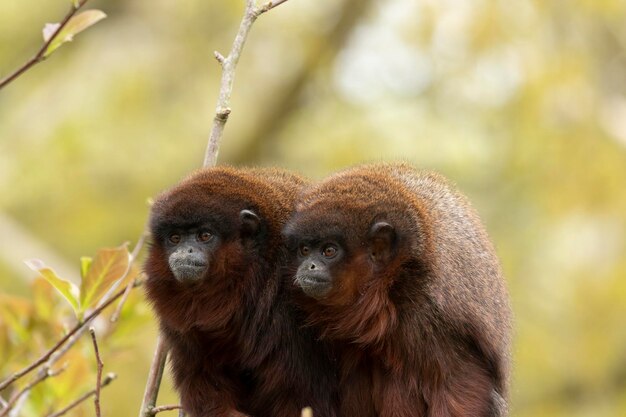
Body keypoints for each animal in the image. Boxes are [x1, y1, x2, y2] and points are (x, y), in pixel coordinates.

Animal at [282, 162, 512, 416]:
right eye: (304, 250)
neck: (392, 286)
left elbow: (459, 381)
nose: (308, 266)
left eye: (329, 251)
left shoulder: (428, 314)